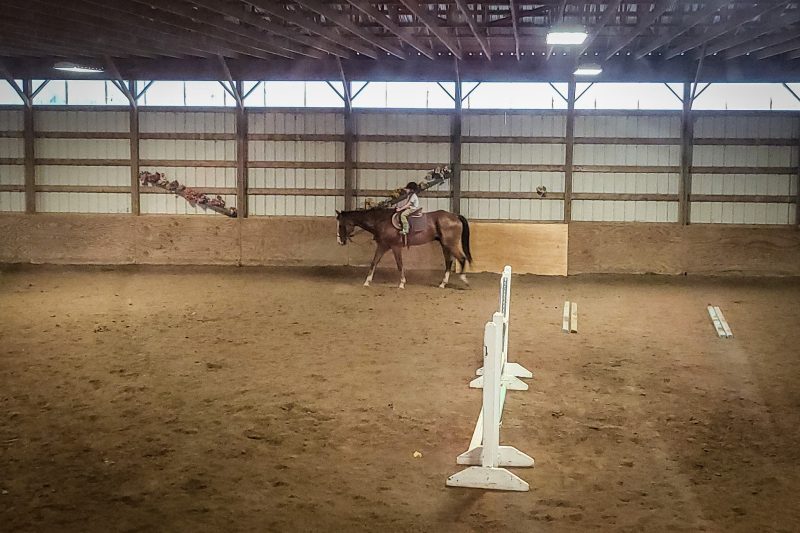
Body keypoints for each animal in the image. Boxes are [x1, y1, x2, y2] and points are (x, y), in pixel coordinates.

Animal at [334, 208, 472, 288]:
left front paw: (401, 283)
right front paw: (367, 281)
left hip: (450, 244)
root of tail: (455, 216)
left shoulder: (395, 247)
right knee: (449, 261)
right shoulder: (382, 246)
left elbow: (399, 264)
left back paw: (464, 280)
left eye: (340, 225)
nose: (339, 241)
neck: (381, 221)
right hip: (445, 245)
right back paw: (443, 283)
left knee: (461, 258)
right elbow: (374, 262)